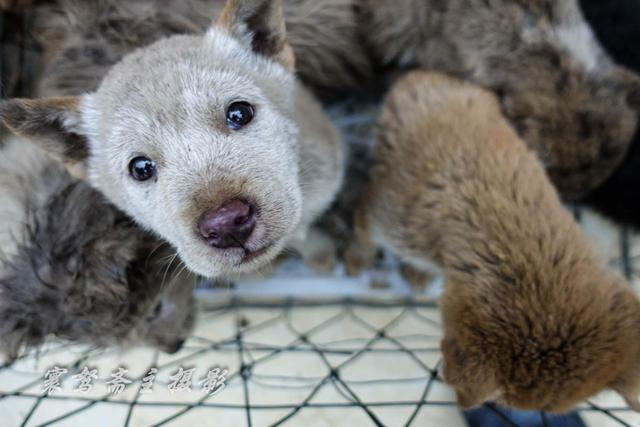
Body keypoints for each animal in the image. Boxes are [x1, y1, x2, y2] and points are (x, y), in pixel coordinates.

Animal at [352, 71, 640, 414]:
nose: (466, 405)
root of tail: (422, 77)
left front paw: (419, 274)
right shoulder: (388, 217)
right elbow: (363, 226)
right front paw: (358, 262)